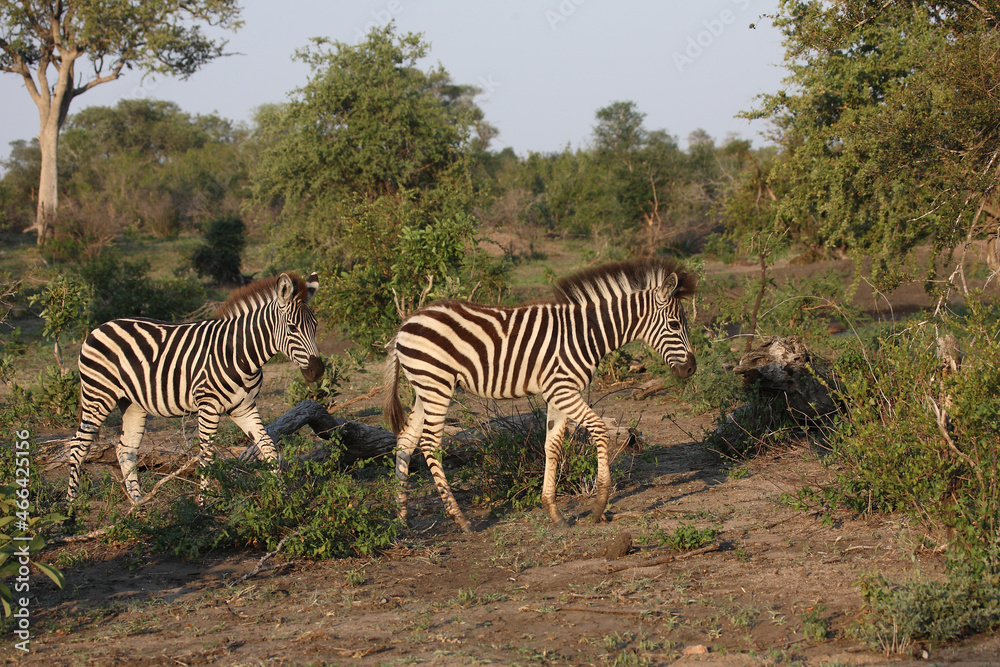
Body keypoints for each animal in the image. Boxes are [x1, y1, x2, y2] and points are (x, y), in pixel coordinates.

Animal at [65, 272, 323, 505]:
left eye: (315, 326)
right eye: (292, 327)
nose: (317, 371)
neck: (239, 353)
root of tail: (99, 327)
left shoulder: (244, 408)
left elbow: (268, 447)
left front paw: (283, 494)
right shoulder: (208, 406)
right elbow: (206, 455)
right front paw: (203, 503)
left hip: (132, 403)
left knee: (125, 449)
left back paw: (138, 504)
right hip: (98, 395)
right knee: (78, 445)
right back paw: (70, 508)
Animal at [383, 258, 696, 533]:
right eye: (674, 325)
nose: (691, 368)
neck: (586, 333)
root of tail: (405, 323)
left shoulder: (557, 393)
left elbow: (552, 445)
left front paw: (553, 511)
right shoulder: (564, 389)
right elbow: (598, 429)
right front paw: (599, 505)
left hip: (425, 388)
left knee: (406, 439)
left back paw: (401, 517)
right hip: (437, 385)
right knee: (430, 443)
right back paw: (460, 519)